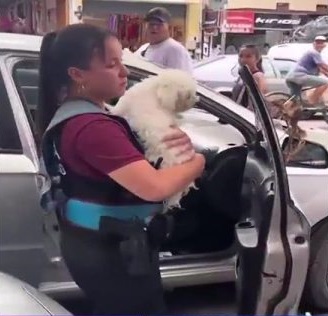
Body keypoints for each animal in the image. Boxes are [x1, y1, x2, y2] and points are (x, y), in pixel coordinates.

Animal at [113, 69, 199, 210]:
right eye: (187, 96)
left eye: (192, 94)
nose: (196, 100)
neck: (154, 90)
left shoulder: (124, 105)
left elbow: (116, 111)